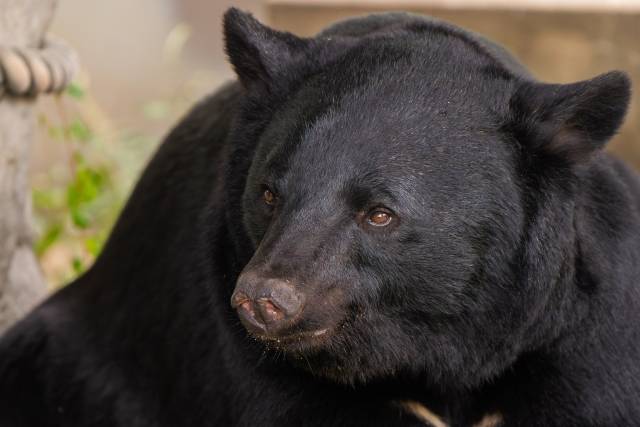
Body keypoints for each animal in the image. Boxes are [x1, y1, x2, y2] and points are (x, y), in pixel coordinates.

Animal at [1, 7, 640, 427]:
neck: (437, 348)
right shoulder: (237, 329)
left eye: (379, 214)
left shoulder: (584, 328)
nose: (263, 301)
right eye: (268, 194)